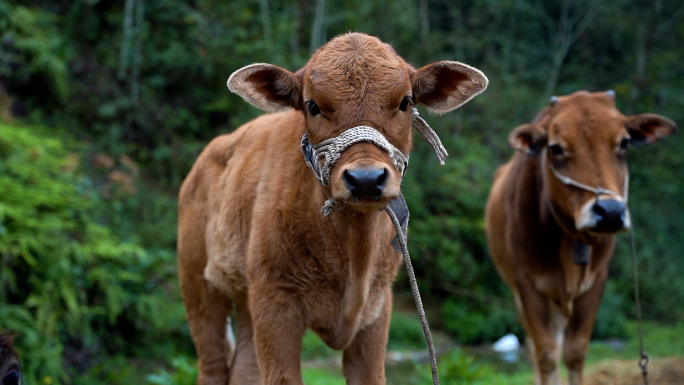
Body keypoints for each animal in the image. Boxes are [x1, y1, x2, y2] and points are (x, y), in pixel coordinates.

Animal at [176, 33, 486, 384]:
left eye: (405, 102)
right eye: (312, 105)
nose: (366, 179)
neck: (353, 256)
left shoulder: (377, 309)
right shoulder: (274, 300)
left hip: (245, 299)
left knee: (244, 367)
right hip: (197, 283)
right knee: (212, 364)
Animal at [484, 91, 676, 384]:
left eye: (624, 142)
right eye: (555, 148)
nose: (610, 212)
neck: (569, 240)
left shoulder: (596, 282)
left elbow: (575, 351)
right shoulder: (526, 285)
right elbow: (546, 354)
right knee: (534, 347)